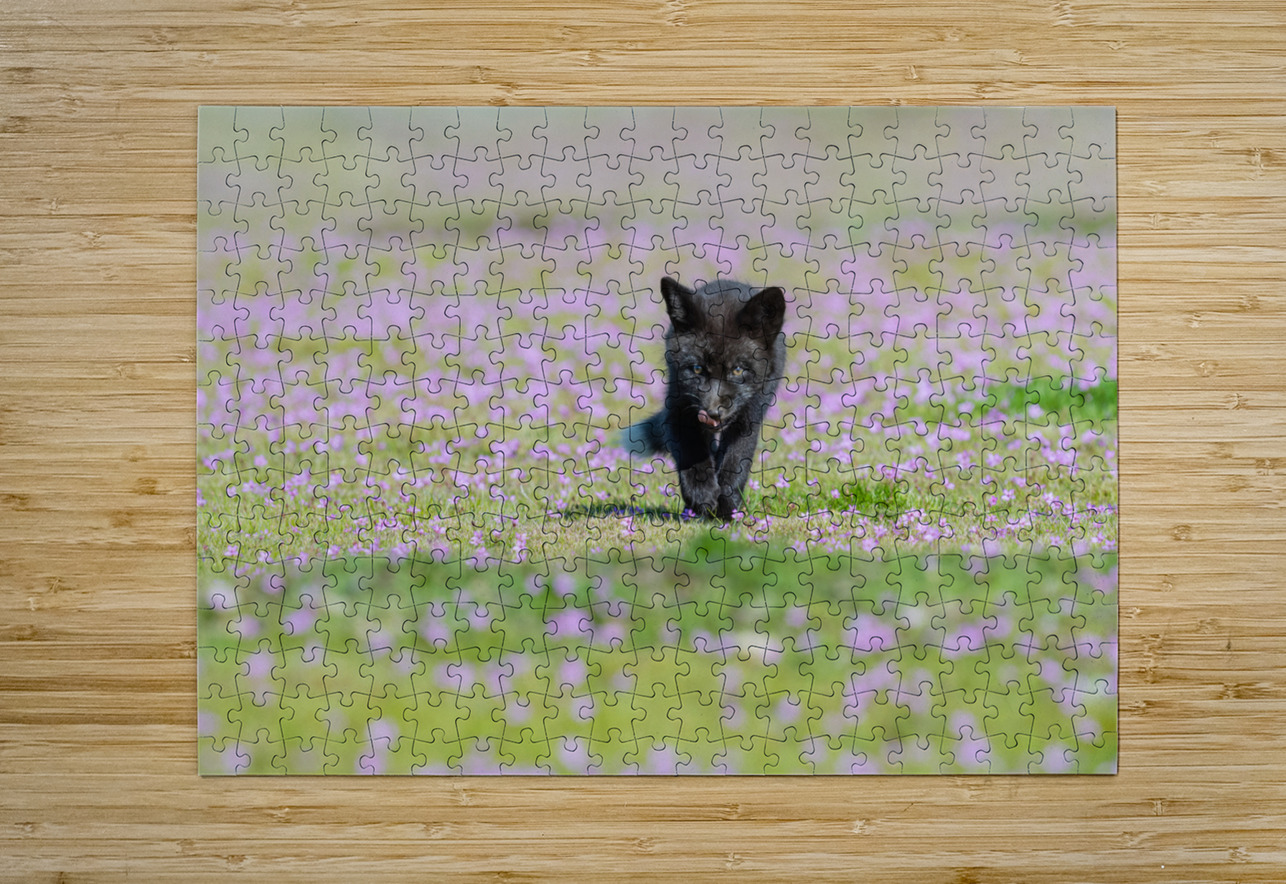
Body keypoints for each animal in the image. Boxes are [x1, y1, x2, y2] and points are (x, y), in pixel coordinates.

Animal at [624, 276, 787, 520]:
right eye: (697, 369)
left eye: (737, 370)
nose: (711, 412)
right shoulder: (679, 407)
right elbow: (692, 451)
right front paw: (702, 495)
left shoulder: (750, 414)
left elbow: (736, 461)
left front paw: (727, 507)